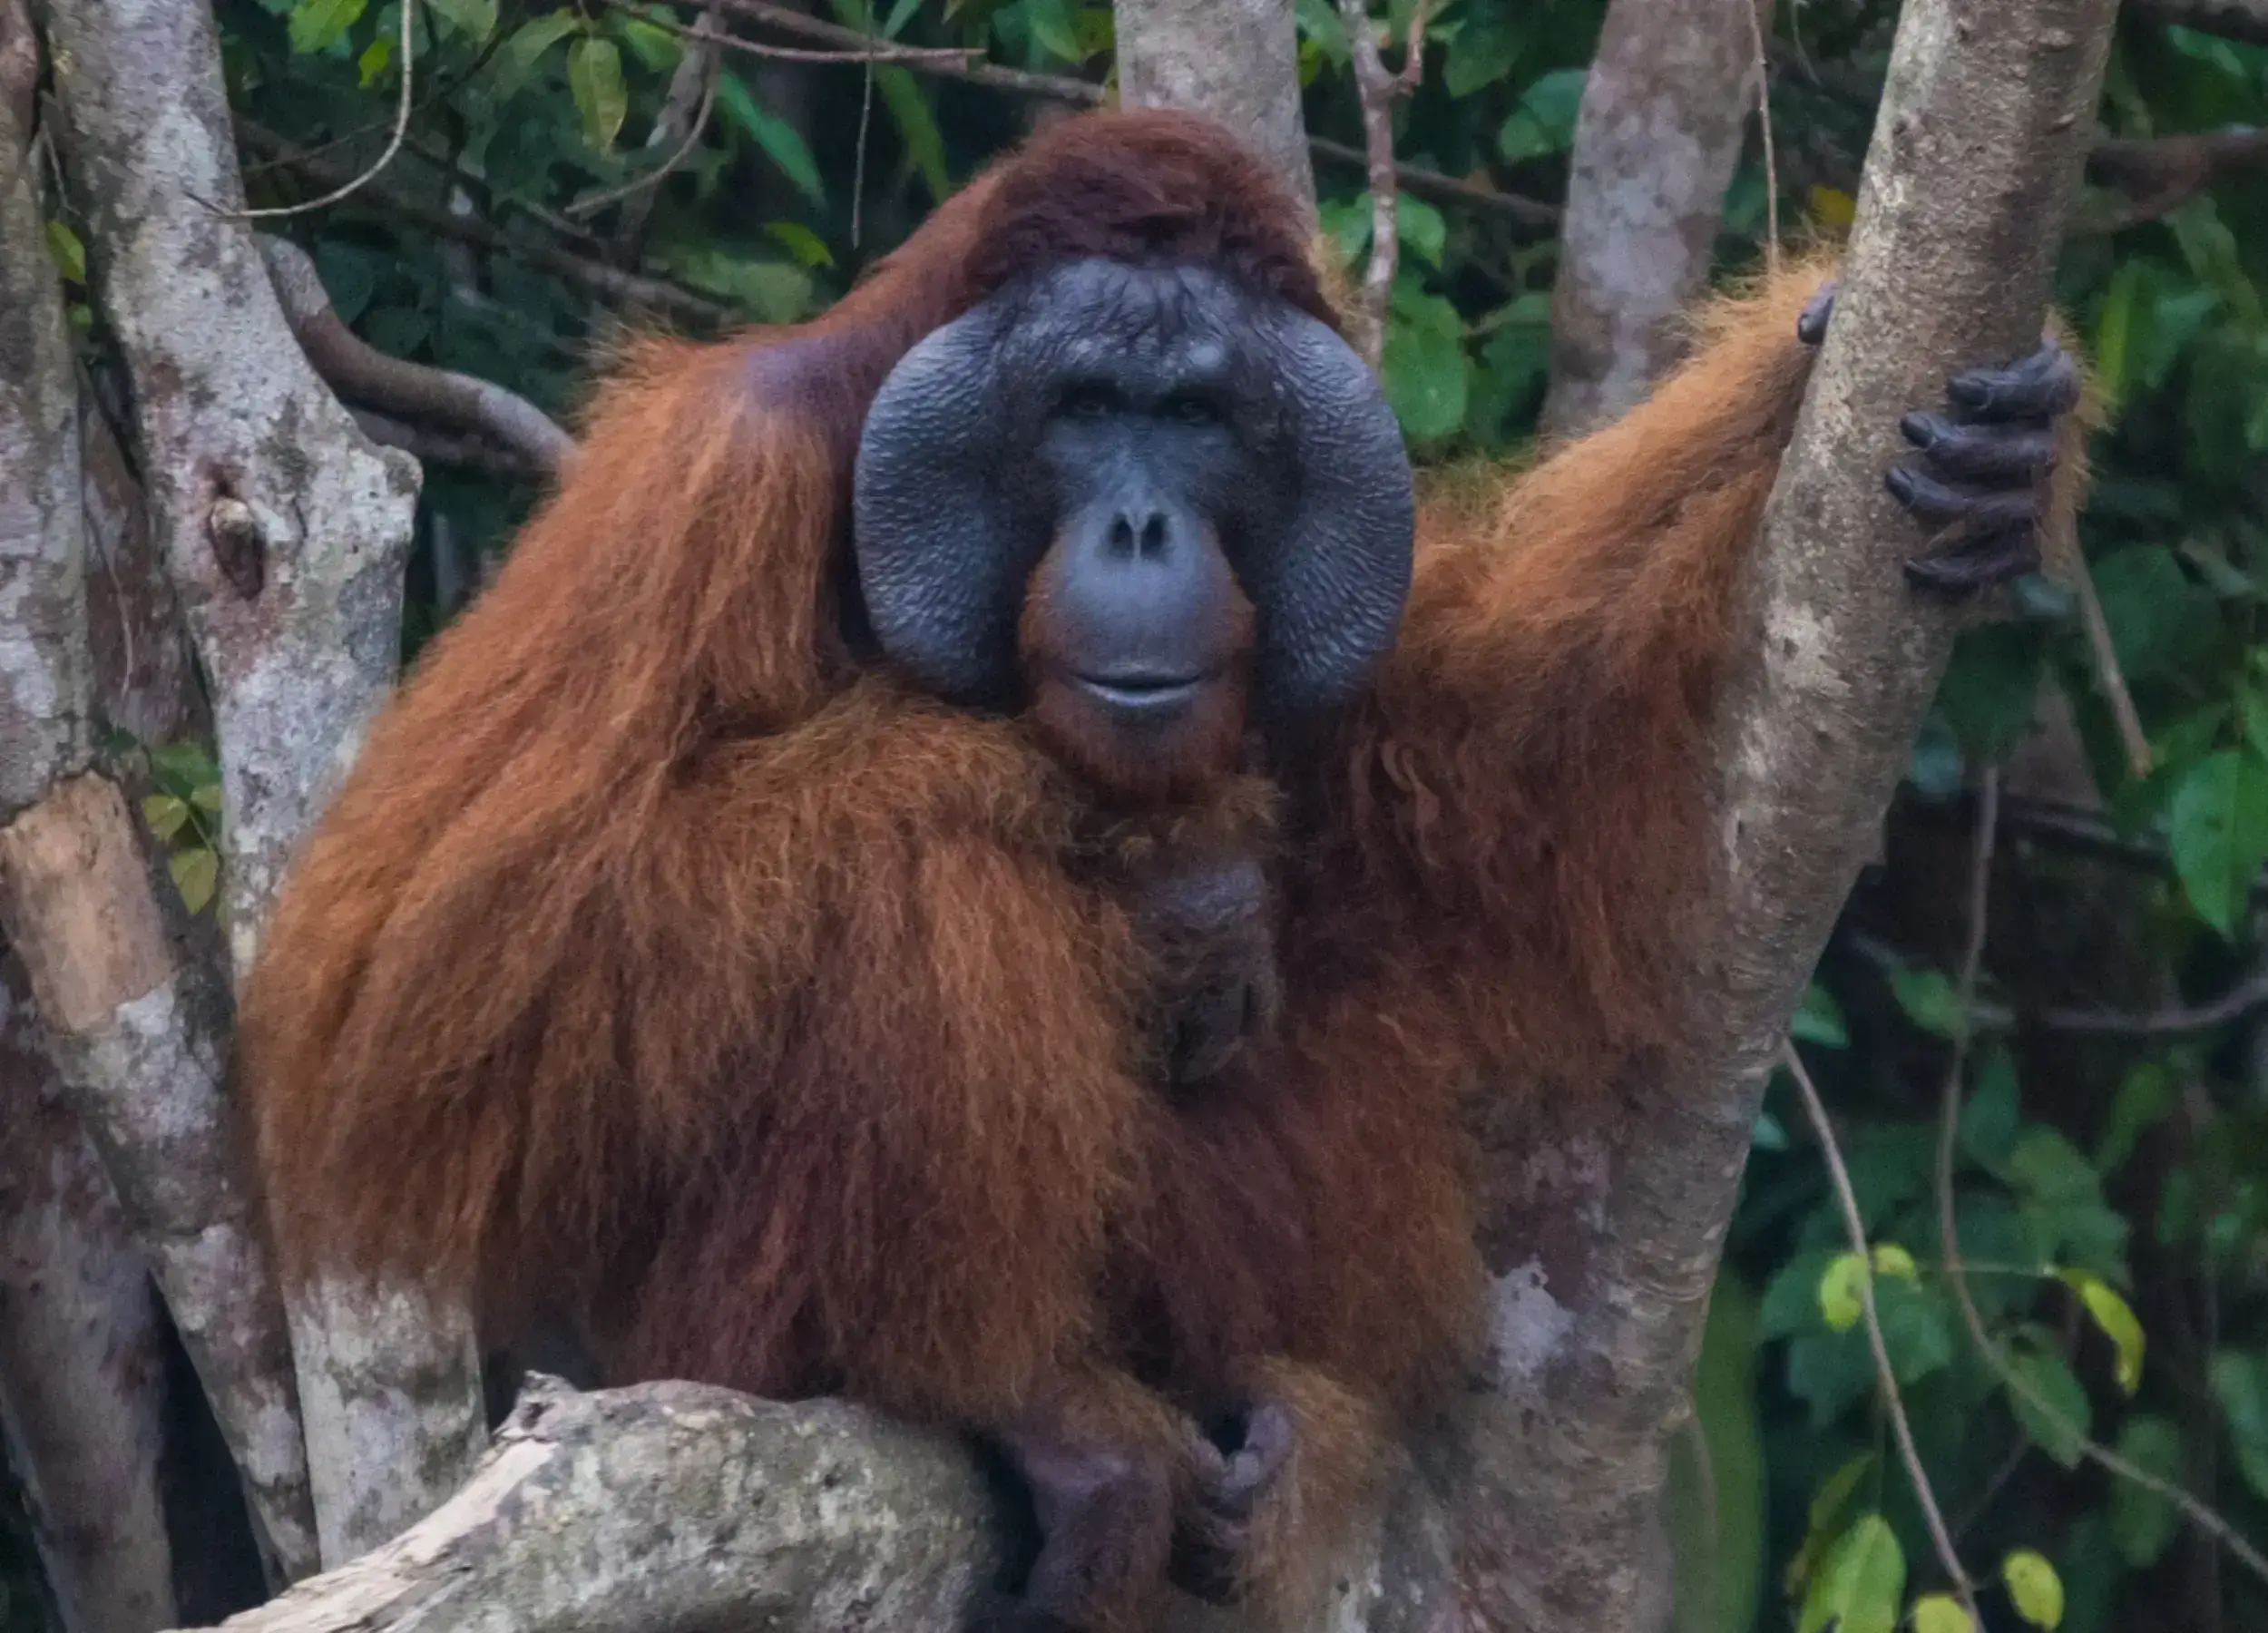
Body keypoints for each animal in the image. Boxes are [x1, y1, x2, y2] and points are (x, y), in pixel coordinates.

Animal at [241, 109, 2087, 1631]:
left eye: (1195, 415)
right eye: (1080, 411)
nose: (1138, 526)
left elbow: (1478, 782)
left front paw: (1859, 382)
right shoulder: (714, 478)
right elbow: (433, 973)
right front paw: (1163, 859)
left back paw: (1284, 1420)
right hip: (700, 1341)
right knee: (918, 888)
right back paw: (1006, 1395)